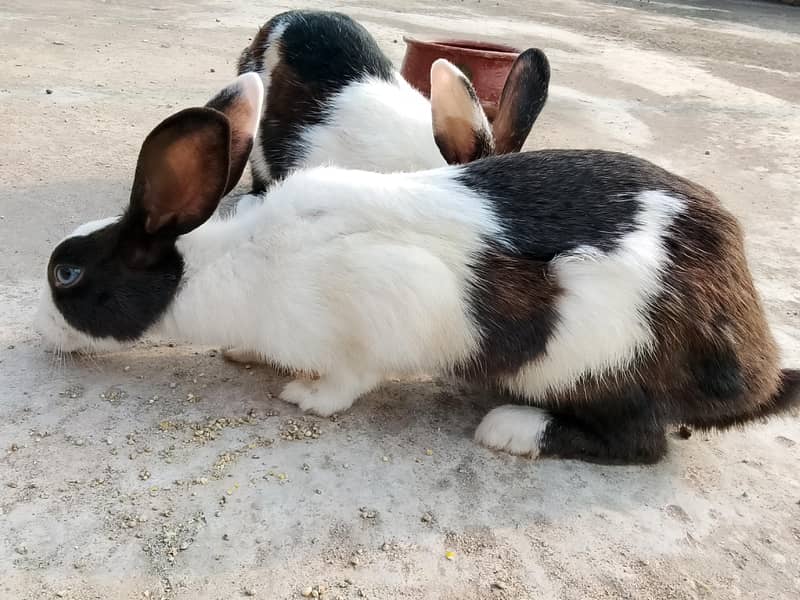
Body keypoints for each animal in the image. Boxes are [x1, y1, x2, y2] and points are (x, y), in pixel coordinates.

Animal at [36, 73, 800, 465]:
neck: (233, 265)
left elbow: (349, 380)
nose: (40, 333)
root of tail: (752, 364)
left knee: (641, 441)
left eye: (66, 276)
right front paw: (242, 354)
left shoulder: (372, 318)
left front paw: (305, 397)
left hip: (602, 360)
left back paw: (510, 430)